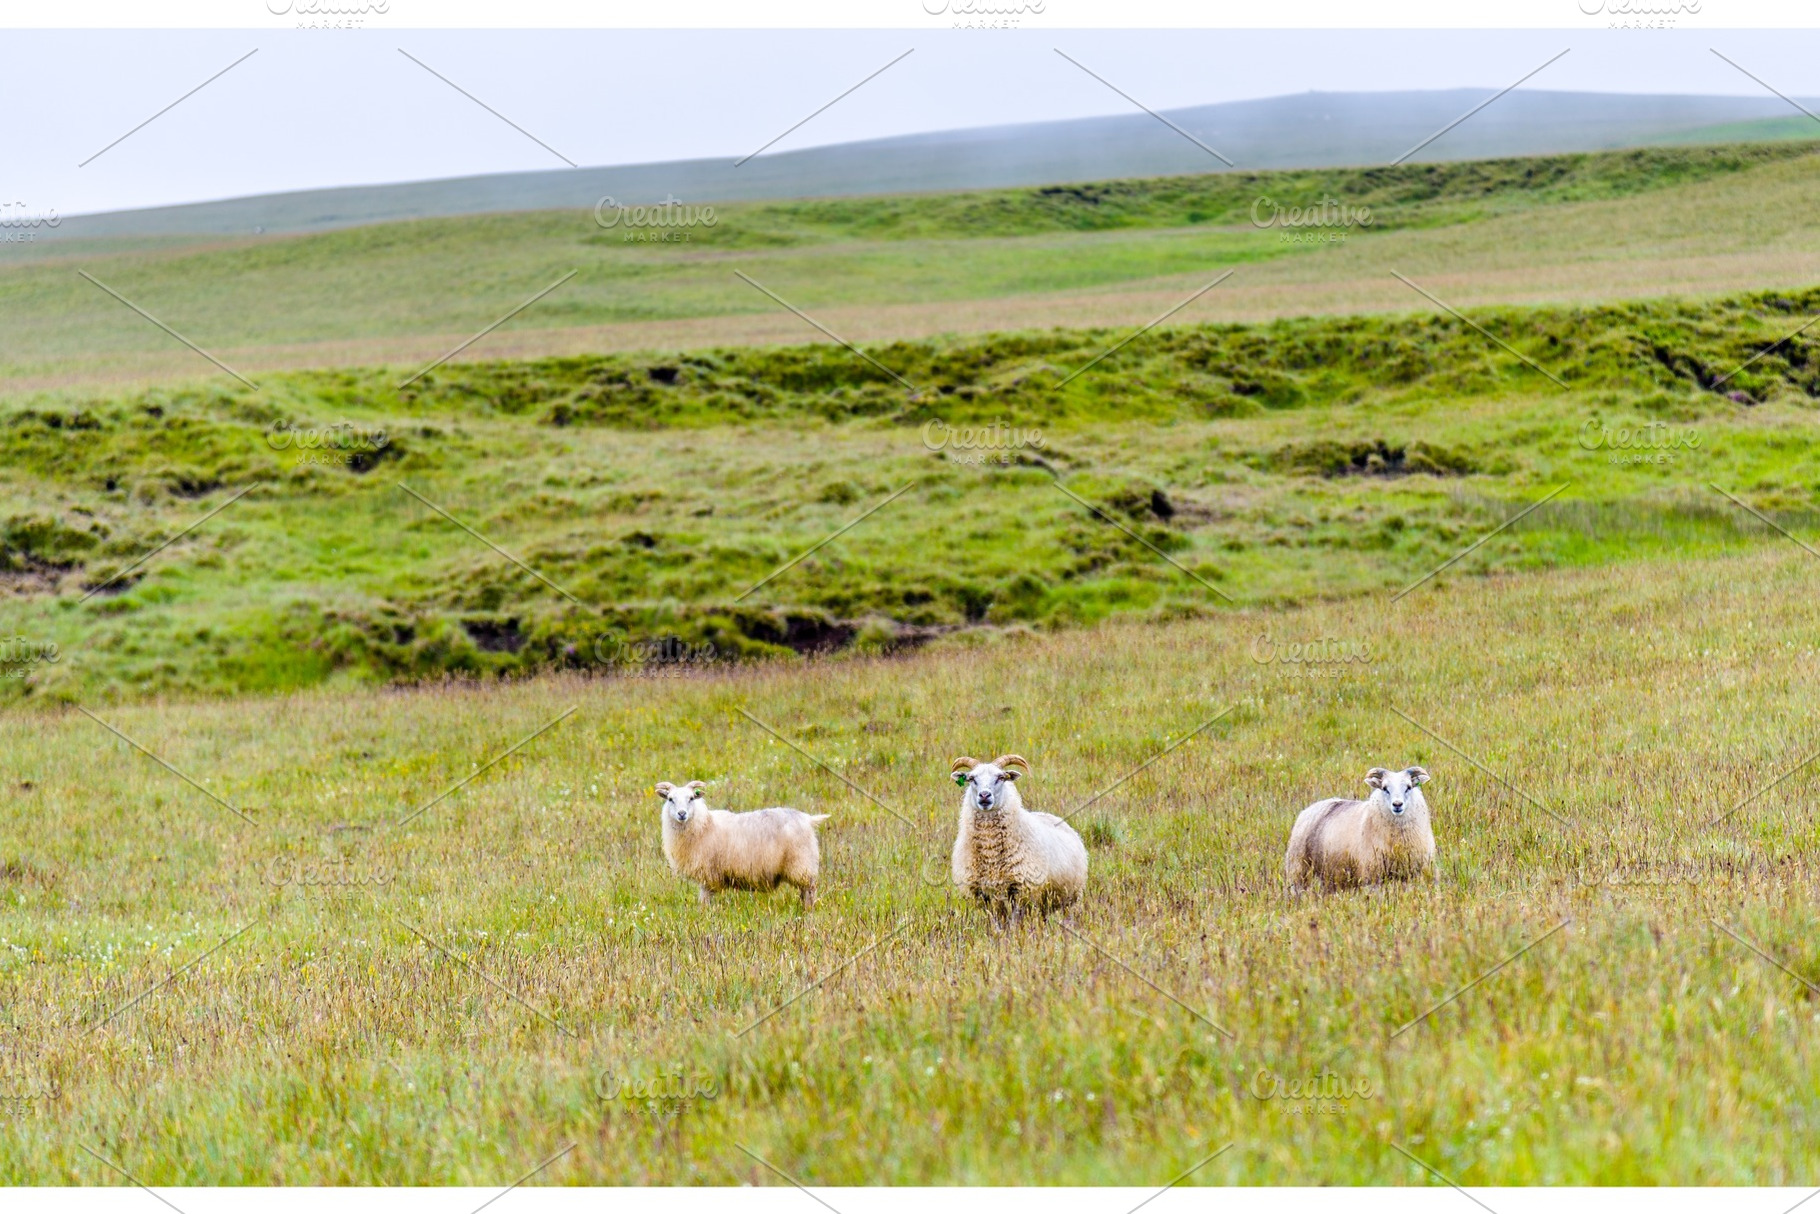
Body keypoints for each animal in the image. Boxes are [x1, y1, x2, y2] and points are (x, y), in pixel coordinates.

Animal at [654, 780, 828, 909]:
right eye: (670, 799)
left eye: (691, 798)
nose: (682, 814)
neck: (703, 826)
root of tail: (807, 818)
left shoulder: (708, 874)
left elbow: (705, 898)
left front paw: (704, 913)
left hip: (801, 864)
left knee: (809, 890)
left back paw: (807, 911)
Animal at [949, 754, 1088, 924]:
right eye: (971, 778)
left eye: (1001, 777)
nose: (984, 795)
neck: (991, 853)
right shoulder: (982, 893)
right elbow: (996, 920)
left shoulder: (1022, 890)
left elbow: (1016, 920)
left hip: (1070, 897)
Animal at [1284, 766, 1434, 891]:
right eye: (1385, 788)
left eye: (1408, 787)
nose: (1397, 804)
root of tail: (1307, 810)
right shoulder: (1372, 877)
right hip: (1298, 870)